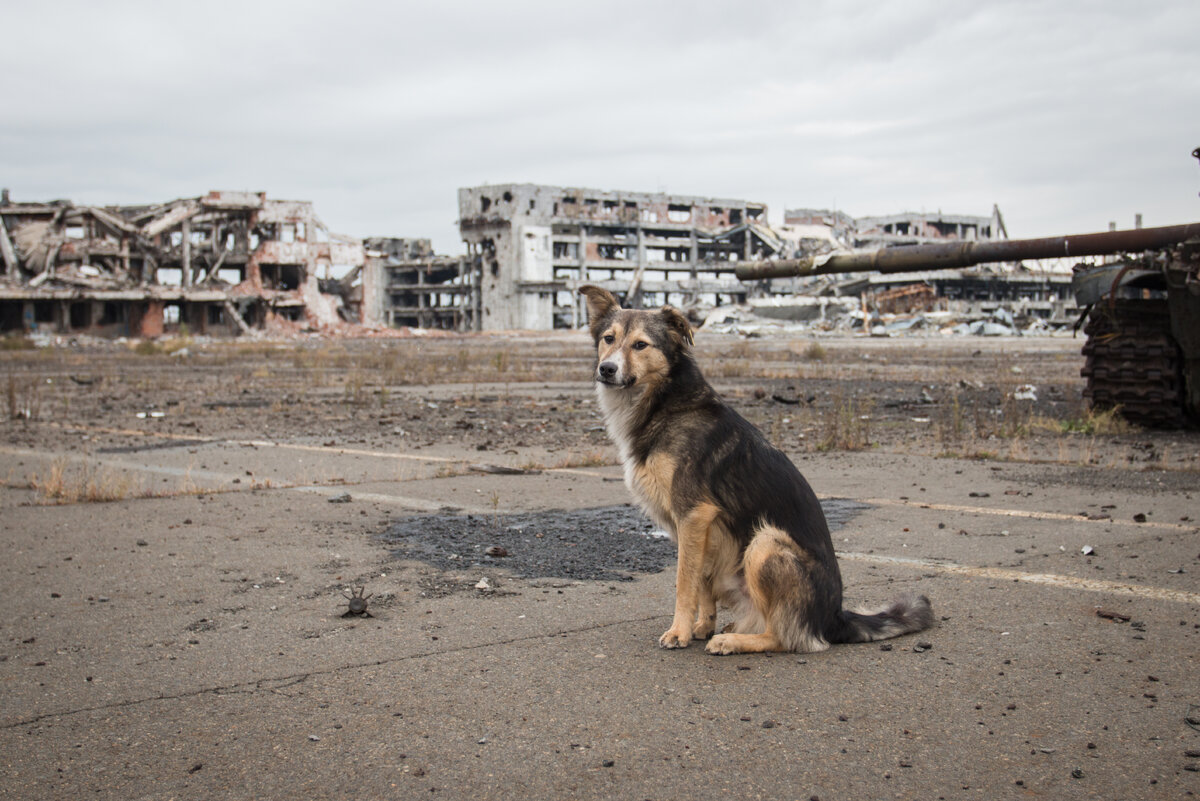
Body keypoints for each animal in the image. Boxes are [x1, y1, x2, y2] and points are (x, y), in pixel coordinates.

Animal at [583, 284, 936, 652]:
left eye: (641, 345)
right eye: (608, 338)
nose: (606, 369)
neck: (663, 401)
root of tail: (835, 618)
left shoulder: (693, 515)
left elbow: (684, 582)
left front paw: (679, 632)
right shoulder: (695, 527)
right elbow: (701, 581)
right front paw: (701, 626)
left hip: (765, 543)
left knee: (786, 637)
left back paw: (734, 641)